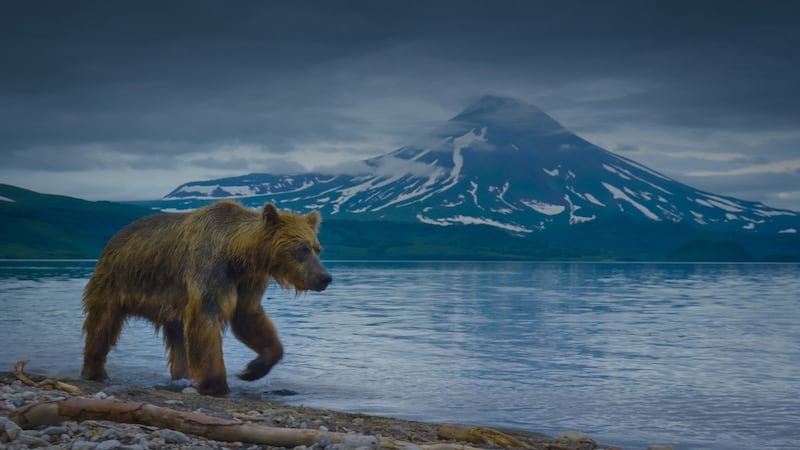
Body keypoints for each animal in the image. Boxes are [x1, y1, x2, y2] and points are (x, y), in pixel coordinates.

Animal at [81, 200, 331, 396]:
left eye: (318, 248)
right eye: (302, 249)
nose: (325, 277)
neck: (238, 255)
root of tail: (113, 238)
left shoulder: (246, 283)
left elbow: (249, 318)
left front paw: (252, 369)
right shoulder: (210, 271)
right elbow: (206, 322)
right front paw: (215, 383)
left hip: (170, 305)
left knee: (177, 339)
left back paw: (183, 375)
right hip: (115, 281)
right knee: (102, 325)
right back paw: (94, 371)